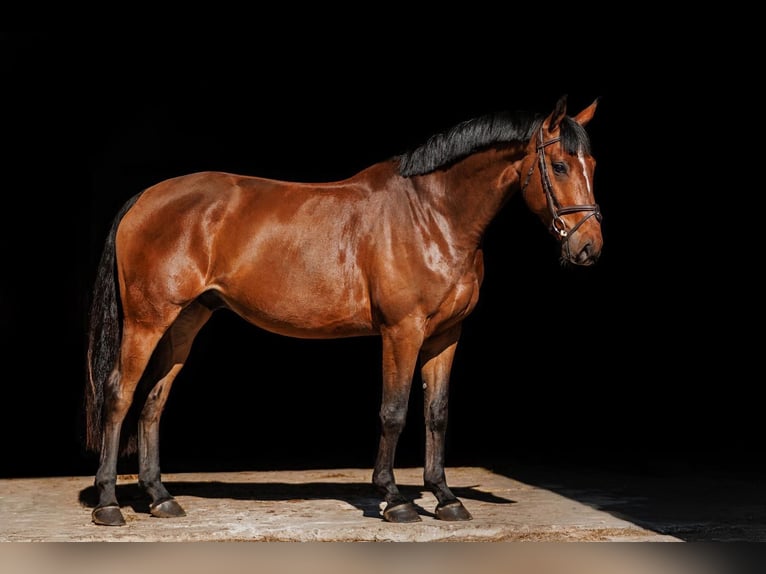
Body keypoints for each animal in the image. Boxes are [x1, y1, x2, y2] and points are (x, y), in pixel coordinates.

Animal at [84, 94, 602, 526]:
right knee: (119, 395)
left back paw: (160, 498)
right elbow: (393, 411)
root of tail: (144, 198)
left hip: (186, 321)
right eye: (559, 165)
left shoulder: (445, 335)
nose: (589, 247)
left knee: (154, 401)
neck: (432, 216)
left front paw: (445, 497)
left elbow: (436, 413)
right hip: (147, 322)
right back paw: (109, 504)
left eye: (592, 163)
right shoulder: (402, 331)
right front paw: (394, 499)